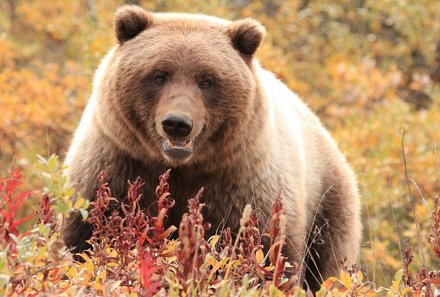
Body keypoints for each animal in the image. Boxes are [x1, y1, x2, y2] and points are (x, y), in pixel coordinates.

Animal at [62, 5, 364, 292]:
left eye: (207, 80)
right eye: (159, 75)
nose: (177, 123)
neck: (181, 167)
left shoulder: (245, 184)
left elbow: (269, 254)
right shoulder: (114, 165)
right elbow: (85, 237)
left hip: (329, 203)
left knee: (327, 264)